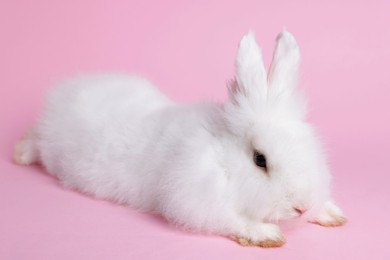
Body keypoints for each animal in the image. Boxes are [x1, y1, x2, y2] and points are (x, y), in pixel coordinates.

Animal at [13, 29, 346, 247]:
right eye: (259, 159)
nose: (300, 206)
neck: (220, 155)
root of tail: (69, 91)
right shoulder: (196, 198)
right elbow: (232, 219)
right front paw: (266, 234)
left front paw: (330, 214)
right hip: (51, 145)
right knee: (35, 141)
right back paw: (19, 154)